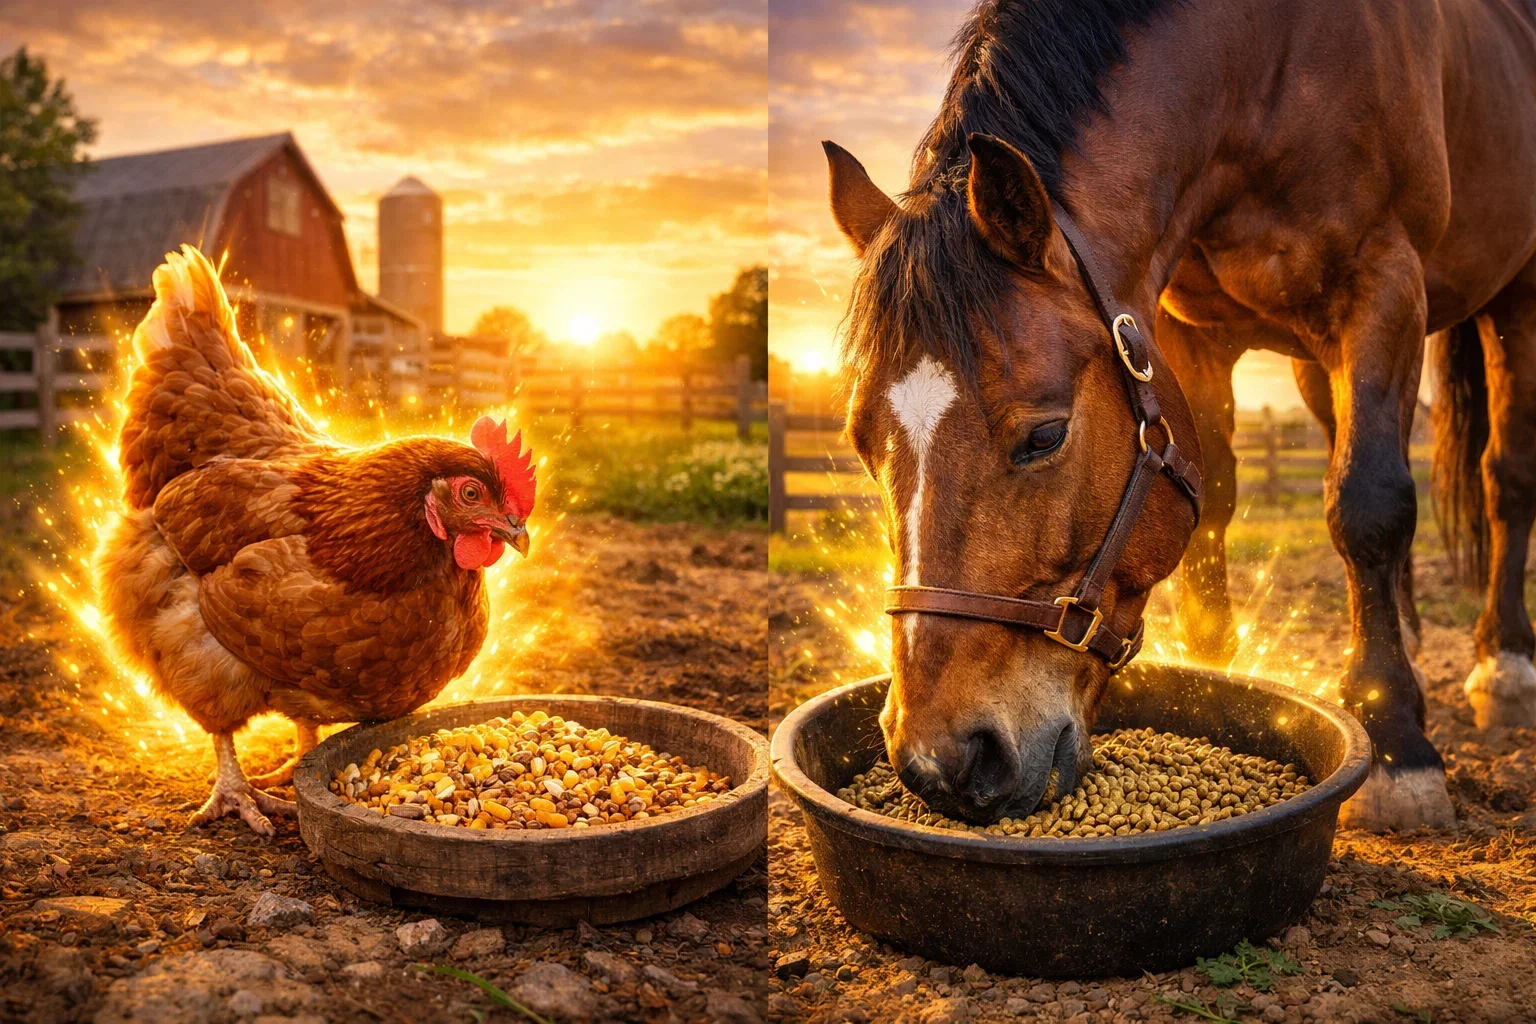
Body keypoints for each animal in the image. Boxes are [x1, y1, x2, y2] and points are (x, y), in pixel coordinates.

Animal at [823, 0, 1536, 831]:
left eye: (1045, 436)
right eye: (864, 444)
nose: (940, 762)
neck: (1269, 70)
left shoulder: (1383, 285)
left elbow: (1369, 506)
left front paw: (1396, 743)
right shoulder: (1189, 331)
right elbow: (1218, 503)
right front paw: (1215, 672)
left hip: (1514, 302)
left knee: (1503, 478)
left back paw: (1505, 663)